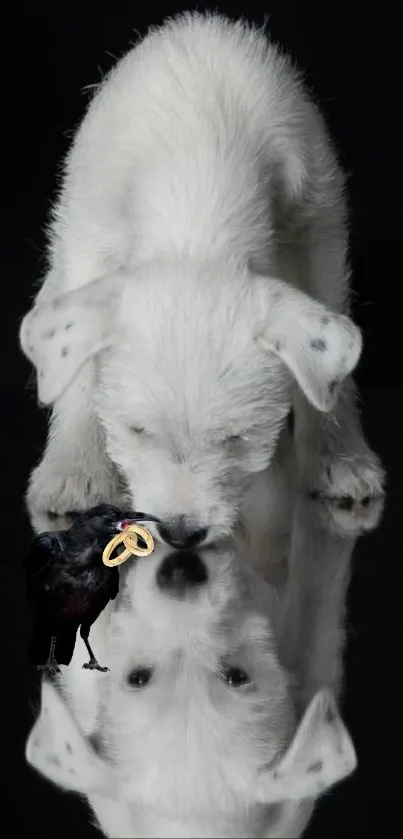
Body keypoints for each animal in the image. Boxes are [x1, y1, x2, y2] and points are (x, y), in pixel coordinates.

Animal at [19, 16, 386, 552]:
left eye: (238, 438)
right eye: (137, 430)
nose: (180, 532)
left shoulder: (315, 236)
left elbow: (328, 381)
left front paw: (339, 454)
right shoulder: (88, 241)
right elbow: (79, 368)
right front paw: (77, 467)